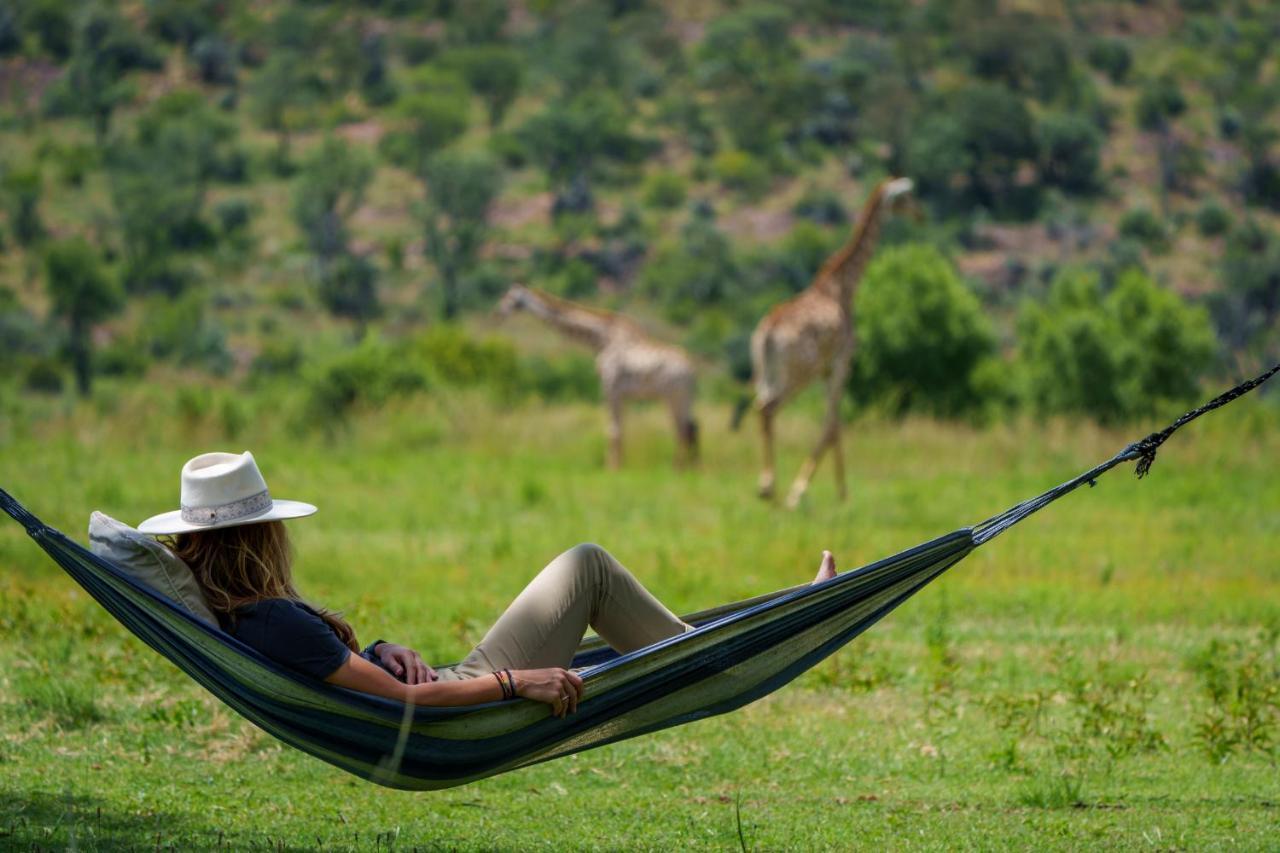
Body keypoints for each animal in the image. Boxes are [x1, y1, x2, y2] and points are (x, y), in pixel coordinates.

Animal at [496, 285, 701, 471]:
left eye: (510, 297)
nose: (498, 312)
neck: (601, 339)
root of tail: (692, 369)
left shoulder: (610, 388)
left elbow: (613, 430)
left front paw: (612, 469)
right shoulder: (621, 394)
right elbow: (619, 429)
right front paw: (618, 465)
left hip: (675, 397)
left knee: (684, 430)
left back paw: (679, 468)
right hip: (680, 397)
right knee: (690, 428)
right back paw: (690, 469)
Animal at [737, 174, 916, 504]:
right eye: (907, 197)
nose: (920, 215)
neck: (844, 286)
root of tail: (769, 331)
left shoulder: (826, 371)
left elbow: (833, 424)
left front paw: (834, 490)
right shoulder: (841, 364)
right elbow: (833, 424)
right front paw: (817, 491)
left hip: (766, 372)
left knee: (759, 406)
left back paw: (767, 485)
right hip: (799, 373)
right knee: (769, 408)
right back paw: (770, 486)